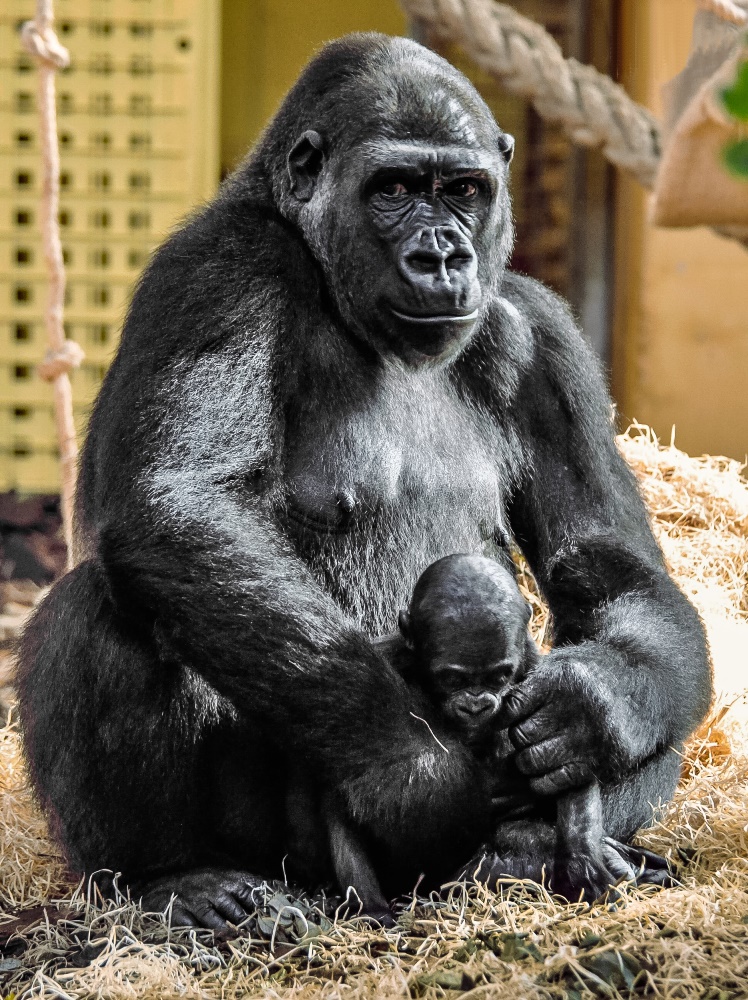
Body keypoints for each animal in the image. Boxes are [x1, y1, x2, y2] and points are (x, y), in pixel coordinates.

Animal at [16, 39, 708, 928]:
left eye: (463, 190)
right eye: (395, 190)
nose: (442, 254)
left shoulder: (541, 338)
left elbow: (611, 564)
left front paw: (592, 706)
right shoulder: (218, 270)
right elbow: (177, 503)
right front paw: (420, 781)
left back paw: (526, 847)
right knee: (114, 599)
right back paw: (180, 876)